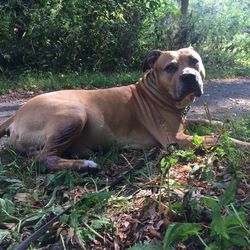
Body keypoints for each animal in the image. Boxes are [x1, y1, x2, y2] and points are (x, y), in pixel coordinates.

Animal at [0, 47, 241, 171]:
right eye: (170, 67)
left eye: (195, 61)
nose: (189, 76)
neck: (157, 91)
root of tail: (15, 114)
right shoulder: (176, 139)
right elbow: (219, 139)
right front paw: (240, 143)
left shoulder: (183, 124)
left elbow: (205, 122)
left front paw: (222, 122)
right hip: (73, 114)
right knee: (44, 158)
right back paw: (84, 164)